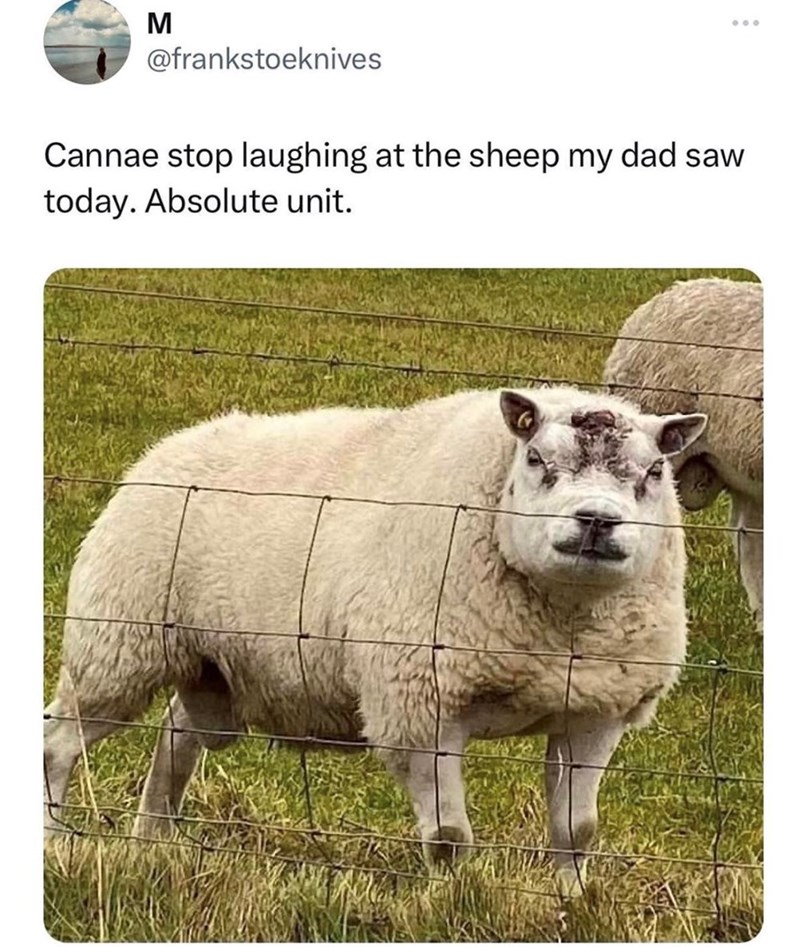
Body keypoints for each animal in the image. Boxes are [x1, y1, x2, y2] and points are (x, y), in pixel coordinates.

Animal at [44, 386, 707, 897]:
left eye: (654, 473)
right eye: (538, 459)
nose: (596, 521)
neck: (562, 624)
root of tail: (171, 446)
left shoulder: (597, 711)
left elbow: (578, 830)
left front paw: (573, 901)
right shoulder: (419, 707)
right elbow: (448, 838)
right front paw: (451, 902)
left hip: (211, 666)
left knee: (177, 734)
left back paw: (153, 839)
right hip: (116, 645)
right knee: (59, 741)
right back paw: (55, 840)